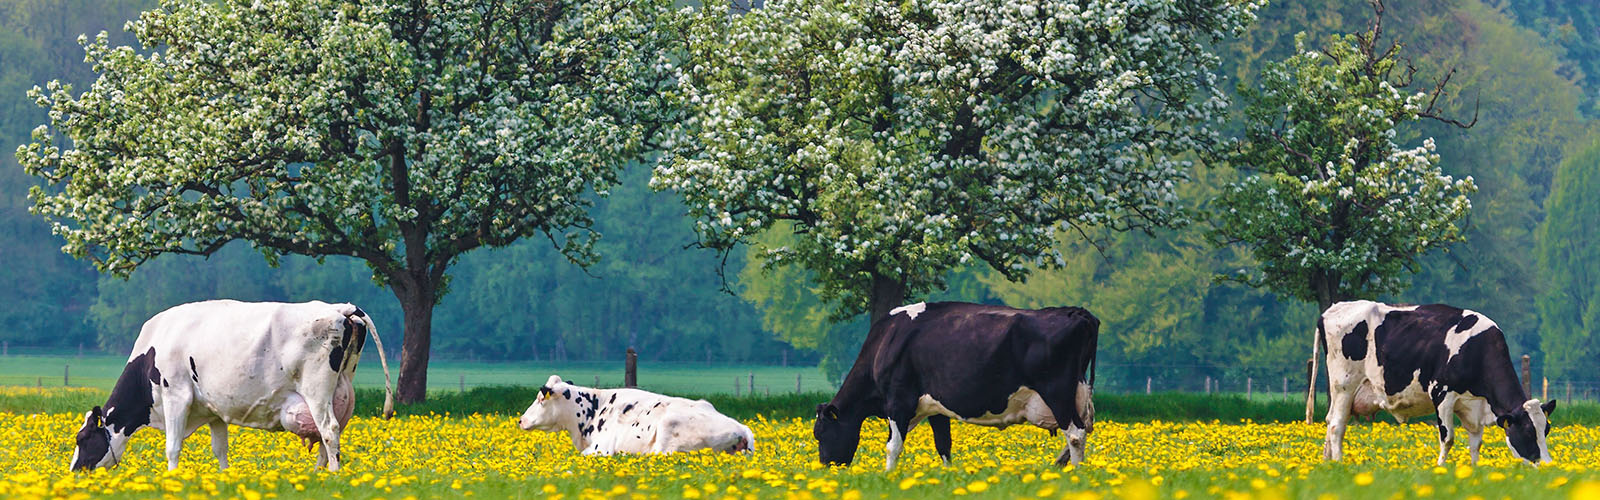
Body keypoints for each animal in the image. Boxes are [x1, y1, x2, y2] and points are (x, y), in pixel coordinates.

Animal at [69, 300, 394, 472]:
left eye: (82, 439)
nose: (74, 472)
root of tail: (341, 308)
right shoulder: (213, 410)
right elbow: (220, 450)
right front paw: (226, 478)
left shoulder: (175, 395)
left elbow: (172, 447)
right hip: (342, 391)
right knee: (331, 435)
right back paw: (317, 476)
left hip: (316, 391)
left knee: (328, 431)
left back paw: (332, 476)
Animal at [813, 302, 1098, 470]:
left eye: (821, 433)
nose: (827, 468)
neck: (886, 341)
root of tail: (1075, 312)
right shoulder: (934, 408)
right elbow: (944, 445)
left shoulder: (897, 401)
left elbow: (892, 446)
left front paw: (888, 476)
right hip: (1078, 393)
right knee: (1081, 431)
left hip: (1056, 391)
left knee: (1075, 434)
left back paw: (1075, 474)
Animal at [1319, 300, 1555, 466]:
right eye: (1528, 432)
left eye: (1546, 430)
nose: (1546, 464)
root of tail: (1333, 309)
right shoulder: (1442, 393)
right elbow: (1448, 438)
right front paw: (1441, 468)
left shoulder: (1474, 405)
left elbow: (1476, 442)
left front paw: (1475, 470)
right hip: (1344, 385)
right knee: (1337, 425)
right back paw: (1339, 463)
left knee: (1329, 420)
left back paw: (1327, 462)